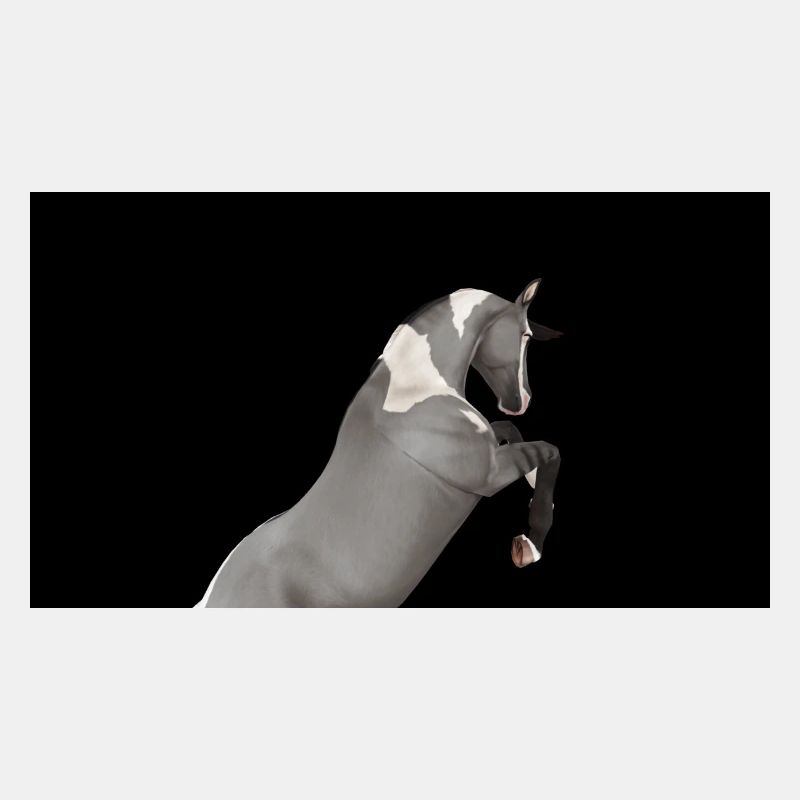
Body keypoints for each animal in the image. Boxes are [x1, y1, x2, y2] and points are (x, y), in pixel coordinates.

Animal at [196, 278, 562, 607]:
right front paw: (528, 547)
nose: (521, 401)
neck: (412, 389)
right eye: (526, 335)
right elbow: (549, 452)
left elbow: (509, 430)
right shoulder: (490, 475)